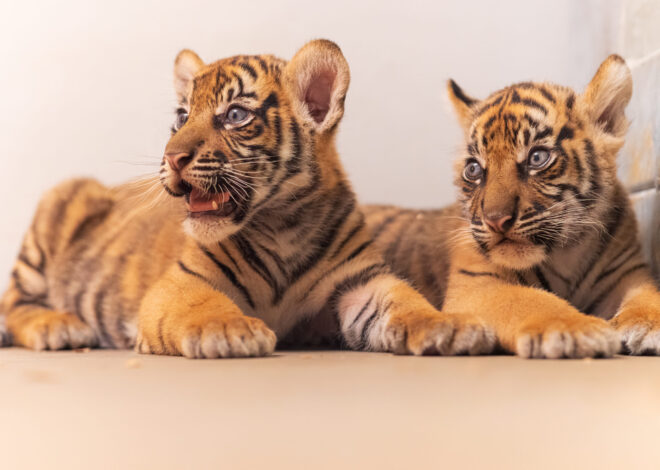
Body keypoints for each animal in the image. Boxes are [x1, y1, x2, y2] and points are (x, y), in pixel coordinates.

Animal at [0, 39, 496, 358]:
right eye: (181, 116)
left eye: (235, 115)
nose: (172, 157)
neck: (283, 225)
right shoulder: (179, 283)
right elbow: (204, 305)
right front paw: (231, 328)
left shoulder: (361, 283)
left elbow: (409, 304)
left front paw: (451, 325)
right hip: (63, 199)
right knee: (13, 301)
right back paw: (59, 327)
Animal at [365, 54, 660, 359]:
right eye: (473, 169)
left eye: (537, 157)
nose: (496, 220)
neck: (566, 252)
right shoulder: (478, 283)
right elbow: (534, 301)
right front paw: (577, 329)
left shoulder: (628, 274)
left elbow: (649, 295)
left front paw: (649, 323)